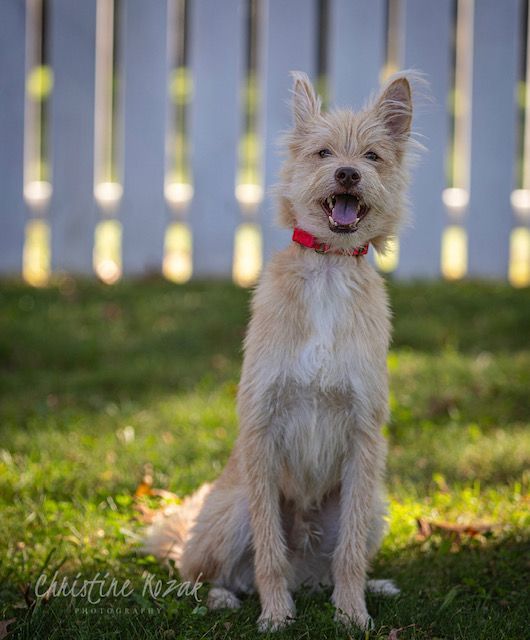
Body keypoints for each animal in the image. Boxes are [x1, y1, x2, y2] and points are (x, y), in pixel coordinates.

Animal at [146, 70, 414, 632]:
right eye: (323, 152)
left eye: (373, 156)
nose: (347, 174)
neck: (328, 269)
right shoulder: (262, 428)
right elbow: (269, 547)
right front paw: (274, 617)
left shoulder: (364, 437)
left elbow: (349, 554)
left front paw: (353, 613)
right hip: (231, 511)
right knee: (199, 574)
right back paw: (226, 597)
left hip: (374, 507)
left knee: (331, 563)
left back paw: (364, 587)